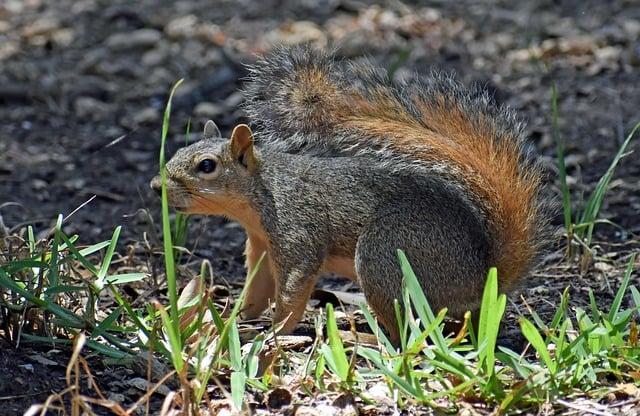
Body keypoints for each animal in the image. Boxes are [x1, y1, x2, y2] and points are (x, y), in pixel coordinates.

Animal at [150, 46, 552, 344]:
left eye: (206, 166)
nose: (157, 187)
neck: (262, 192)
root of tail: (483, 275)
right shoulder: (261, 244)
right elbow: (257, 288)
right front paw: (237, 316)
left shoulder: (297, 230)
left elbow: (294, 288)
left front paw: (275, 331)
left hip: (386, 256)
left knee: (408, 335)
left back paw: (364, 339)